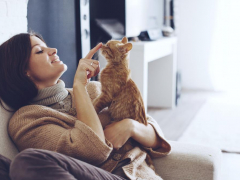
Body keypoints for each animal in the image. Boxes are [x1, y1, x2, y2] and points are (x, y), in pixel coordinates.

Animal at [93, 36, 155, 170]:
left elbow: (95, 104)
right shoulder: (103, 94)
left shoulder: (106, 96)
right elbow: (94, 100)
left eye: (108, 46)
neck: (114, 66)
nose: (101, 44)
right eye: (106, 43)